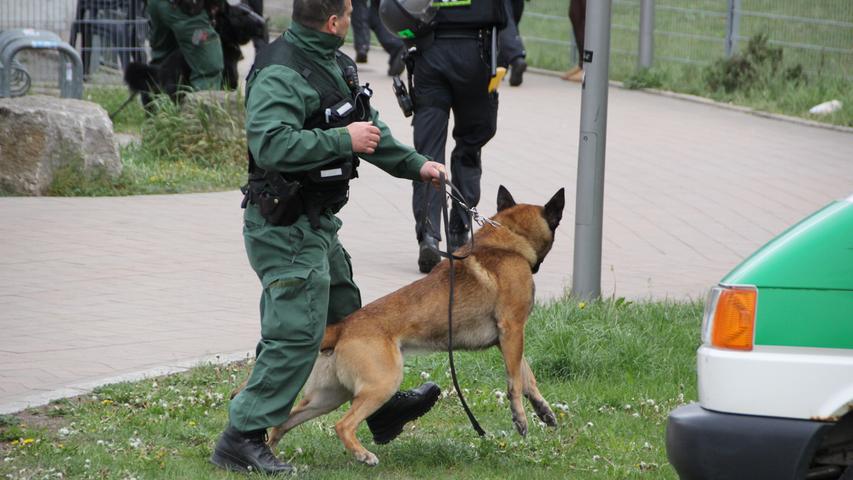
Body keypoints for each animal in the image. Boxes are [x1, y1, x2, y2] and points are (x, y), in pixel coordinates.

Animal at [262, 187, 564, 464]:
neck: (510, 241)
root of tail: (343, 326)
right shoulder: (512, 328)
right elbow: (515, 381)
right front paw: (520, 418)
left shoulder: (508, 339)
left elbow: (527, 375)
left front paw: (544, 410)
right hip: (381, 384)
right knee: (342, 425)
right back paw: (363, 455)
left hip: (327, 397)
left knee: (282, 423)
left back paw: (267, 456)